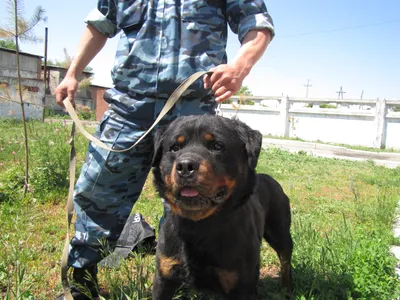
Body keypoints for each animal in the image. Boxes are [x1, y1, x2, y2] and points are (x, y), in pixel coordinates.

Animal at [152, 113, 292, 298]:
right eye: (175, 148)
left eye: (217, 146)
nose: (185, 166)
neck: (198, 227)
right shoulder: (164, 276)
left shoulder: (240, 282)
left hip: (280, 232)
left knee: (285, 260)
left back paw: (287, 288)